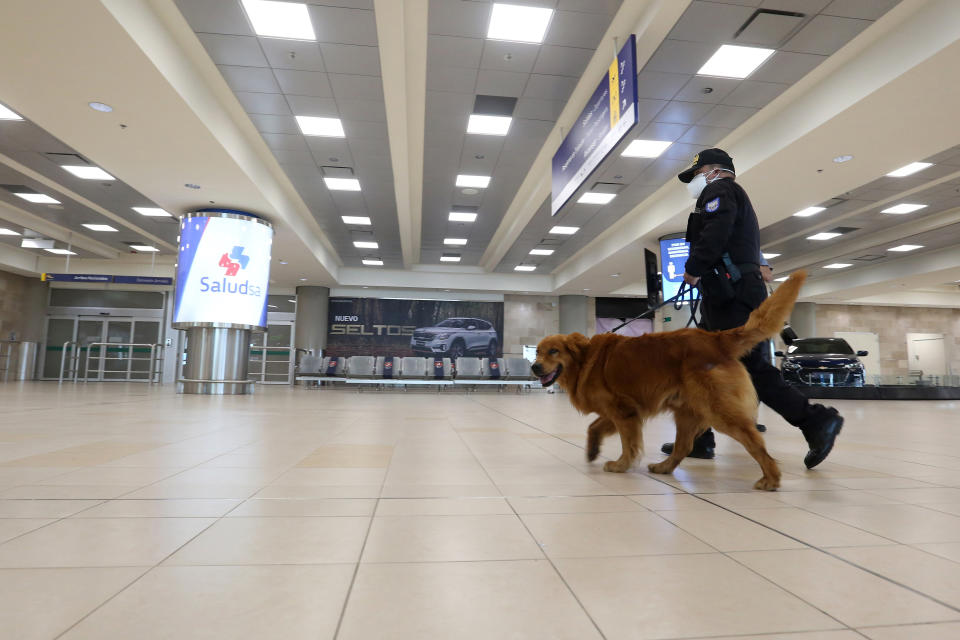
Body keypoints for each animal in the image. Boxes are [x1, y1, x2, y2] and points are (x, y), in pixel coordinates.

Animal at [528, 270, 808, 490]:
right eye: (538, 351)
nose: (534, 366)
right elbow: (593, 427)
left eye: (554, 351)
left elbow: (628, 443)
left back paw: (771, 477)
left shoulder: (624, 410)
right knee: (683, 446)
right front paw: (592, 450)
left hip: (718, 409)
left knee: (754, 440)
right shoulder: (623, 409)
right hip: (687, 412)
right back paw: (664, 467)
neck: (585, 360)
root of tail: (715, 339)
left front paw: (621, 464)